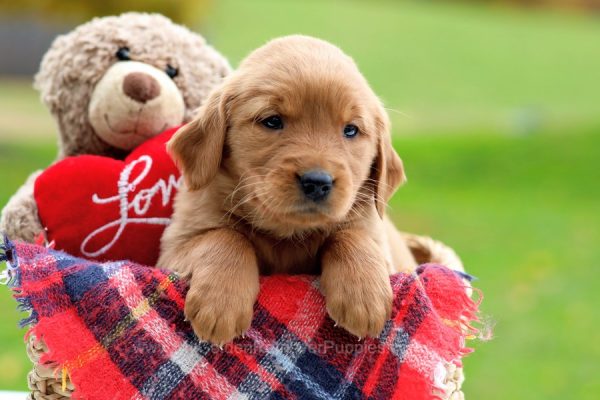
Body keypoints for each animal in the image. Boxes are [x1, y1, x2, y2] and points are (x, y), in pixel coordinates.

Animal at [162, 36, 420, 346]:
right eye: (272, 121)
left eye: (351, 130)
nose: (317, 182)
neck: (287, 235)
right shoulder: (175, 246)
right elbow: (226, 237)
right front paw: (220, 303)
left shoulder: (375, 236)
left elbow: (350, 235)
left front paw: (363, 296)